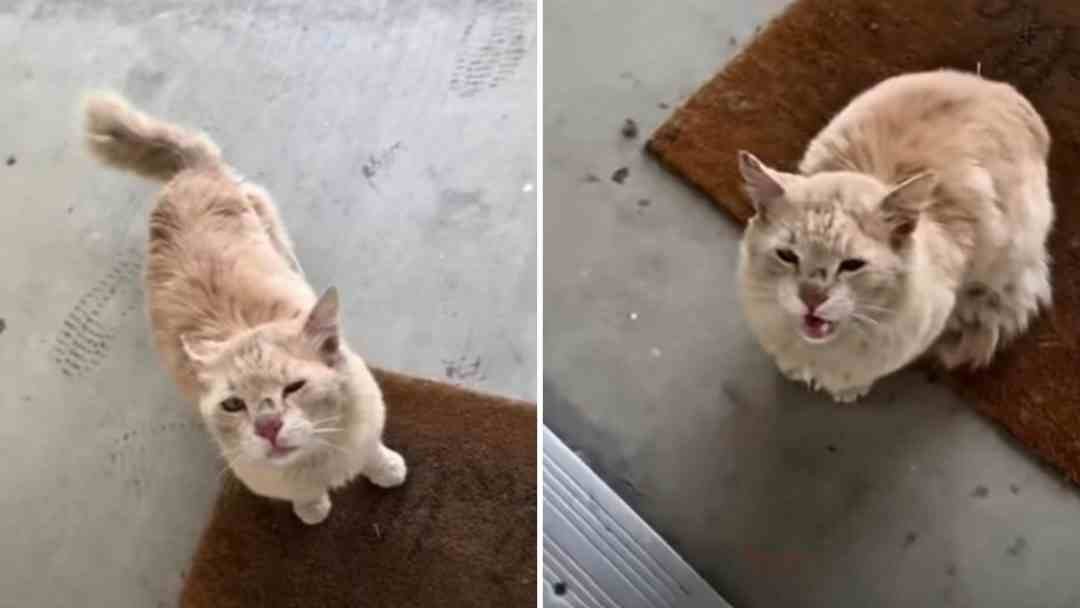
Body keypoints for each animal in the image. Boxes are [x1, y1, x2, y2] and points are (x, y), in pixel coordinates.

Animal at [81, 92, 406, 524]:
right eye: (233, 405)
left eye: (294, 387)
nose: (268, 426)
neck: (317, 461)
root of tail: (188, 173)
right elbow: (303, 495)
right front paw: (312, 508)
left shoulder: (366, 427)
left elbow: (371, 453)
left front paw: (387, 470)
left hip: (270, 226)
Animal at [738, 70, 1049, 403]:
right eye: (787, 256)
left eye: (852, 265)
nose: (812, 299)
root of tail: (1003, 89)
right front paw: (794, 370)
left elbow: (860, 374)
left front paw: (847, 390)